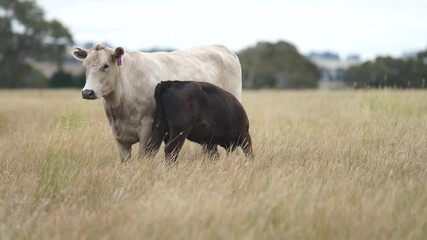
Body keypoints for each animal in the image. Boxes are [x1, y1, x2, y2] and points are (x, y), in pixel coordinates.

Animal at [72, 44, 242, 162]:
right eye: (85, 66)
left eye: (106, 66)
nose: (87, 92)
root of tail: (223, 48)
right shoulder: (118, 136)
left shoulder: (147, 130)